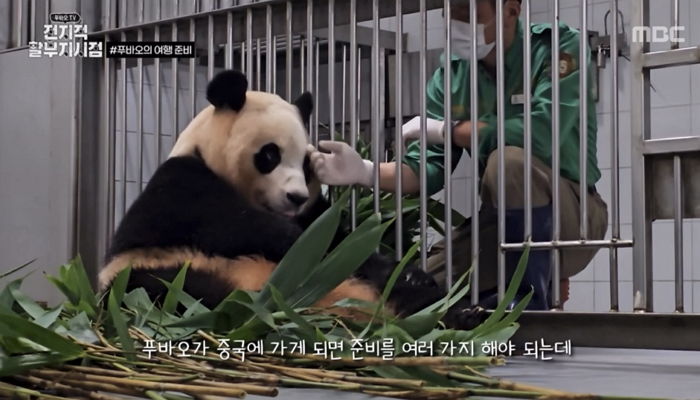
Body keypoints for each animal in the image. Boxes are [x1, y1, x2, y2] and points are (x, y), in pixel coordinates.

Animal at [98, 70, 482, 330]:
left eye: (306, 163)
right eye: (270, 155)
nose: (295, 197)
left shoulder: (316, 216)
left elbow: (341, 243)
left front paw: (415, 275)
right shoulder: (183, 188)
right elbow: (250, 230)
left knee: (415, 302)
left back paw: (464, 313)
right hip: (156, 275)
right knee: (177, 291)